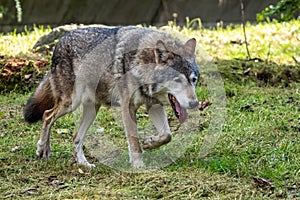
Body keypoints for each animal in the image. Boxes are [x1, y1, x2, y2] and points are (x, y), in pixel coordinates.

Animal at [24, 25, 199, 168]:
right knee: (47, 115)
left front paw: (149, 143)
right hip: (71, 103)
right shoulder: (127, 107)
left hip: (91, 110)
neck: (142, 62)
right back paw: (42, 148)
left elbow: (167, 135)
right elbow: (134, 141)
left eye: (193, 80)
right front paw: (139, 166)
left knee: (75, 136)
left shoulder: (154, 105)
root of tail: (59, 42)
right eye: (177, 80)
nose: (195, 103)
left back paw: (82, 163)